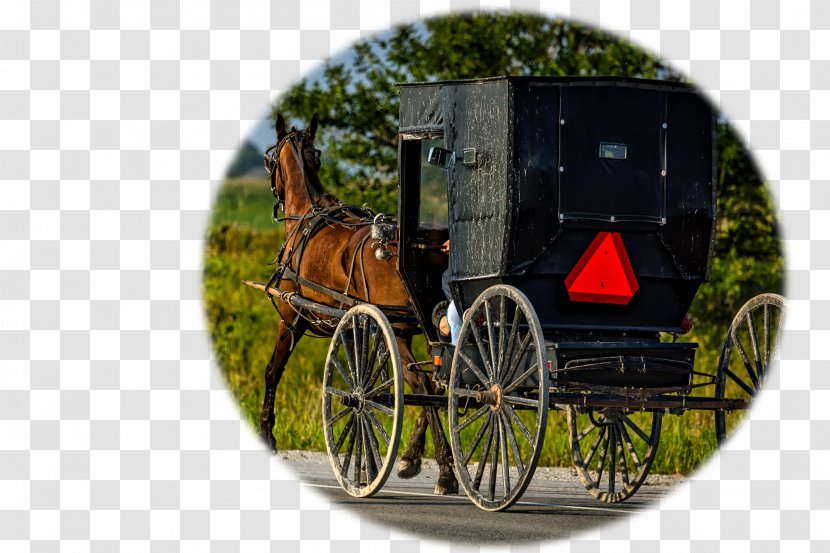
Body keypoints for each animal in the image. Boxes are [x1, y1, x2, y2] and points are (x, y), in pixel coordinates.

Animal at [258, 114, 458, 494]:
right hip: (424, 326)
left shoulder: (291, 317)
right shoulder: (354, 325)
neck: (307, 216)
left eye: (268, 160)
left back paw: (444, 471)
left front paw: (266, 434)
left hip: (399, 328)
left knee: (424, 385)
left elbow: (273, 370)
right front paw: (368, 463)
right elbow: (365, 383)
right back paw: (414, 459)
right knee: (441, 382)